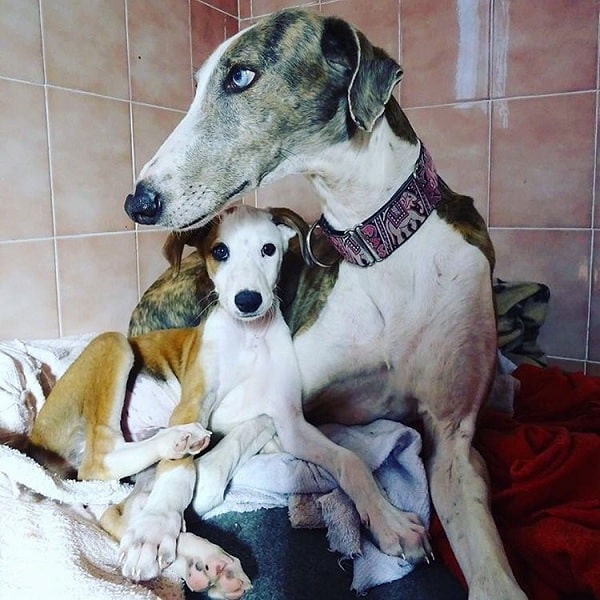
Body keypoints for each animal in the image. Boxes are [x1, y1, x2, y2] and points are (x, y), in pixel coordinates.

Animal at [124, 5, 528, 600]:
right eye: (196, 86)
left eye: (240, 76)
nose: (138, 202)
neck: (378, 243)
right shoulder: (291, 397)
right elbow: (275, 436)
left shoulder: (454, 440)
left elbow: (488, 564)